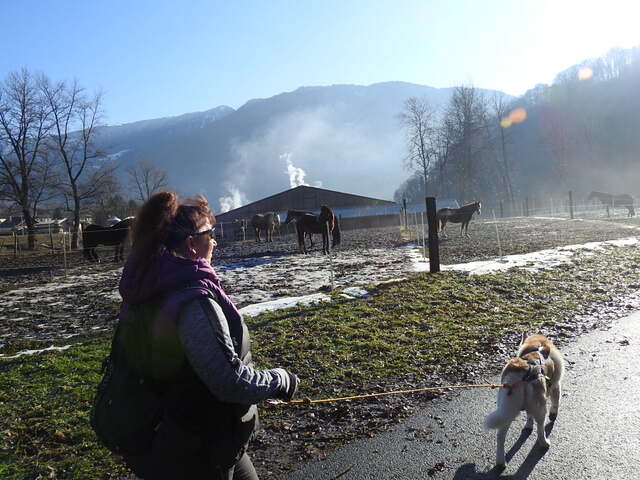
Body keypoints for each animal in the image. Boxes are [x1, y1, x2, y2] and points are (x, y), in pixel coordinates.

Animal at [484, 336, 564, 466]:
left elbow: (528, 415)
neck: (536, 345)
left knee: (500, 436)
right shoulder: (556, 385)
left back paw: (500, 462)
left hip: (507, 408)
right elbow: (556, 402)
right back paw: (544, 443)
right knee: (540, 428)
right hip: (540, 406)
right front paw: (553, 415)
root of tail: (520, 374)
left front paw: (528, 426)